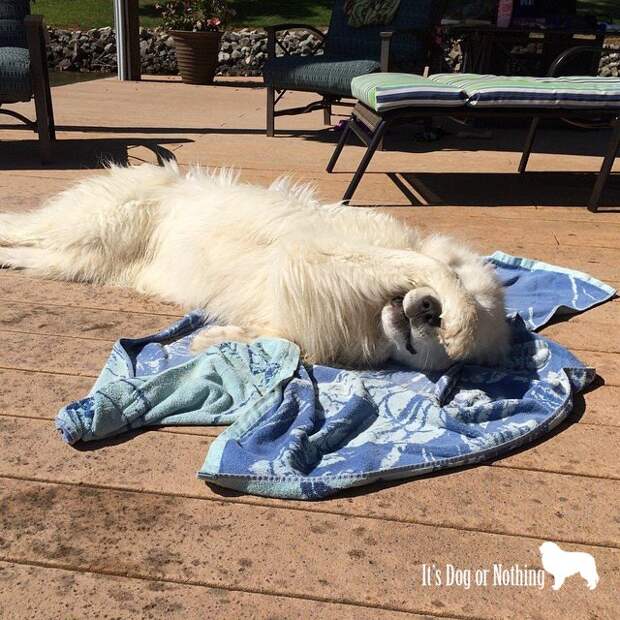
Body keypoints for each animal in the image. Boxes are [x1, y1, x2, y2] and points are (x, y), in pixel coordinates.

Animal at [0, 162, 508, 370]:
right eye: (437, 319)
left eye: (432, 343)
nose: (428, 311)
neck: (367, 312)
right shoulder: (316, 253)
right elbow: (423, 261)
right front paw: (460, 320)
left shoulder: (291, 315)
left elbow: (285, 345)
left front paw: (214, 339)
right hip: (91, 227)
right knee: (22, 226)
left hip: (78, 261)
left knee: (31, 252)